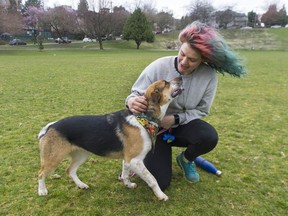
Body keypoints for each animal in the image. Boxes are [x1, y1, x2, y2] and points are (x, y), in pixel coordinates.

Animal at [37, 76, 182, 201]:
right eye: (165, 83)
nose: (180, 77)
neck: (143, 117)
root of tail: (51, 126)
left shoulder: (128, 160)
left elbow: (125, 174)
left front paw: (128, 184)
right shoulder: (135, 160)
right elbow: (152, 179)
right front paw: (161, 195)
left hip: (81, 155)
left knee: (70, 171)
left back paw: (81, 185)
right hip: (53, 159)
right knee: (41, 174)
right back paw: (42, 190)